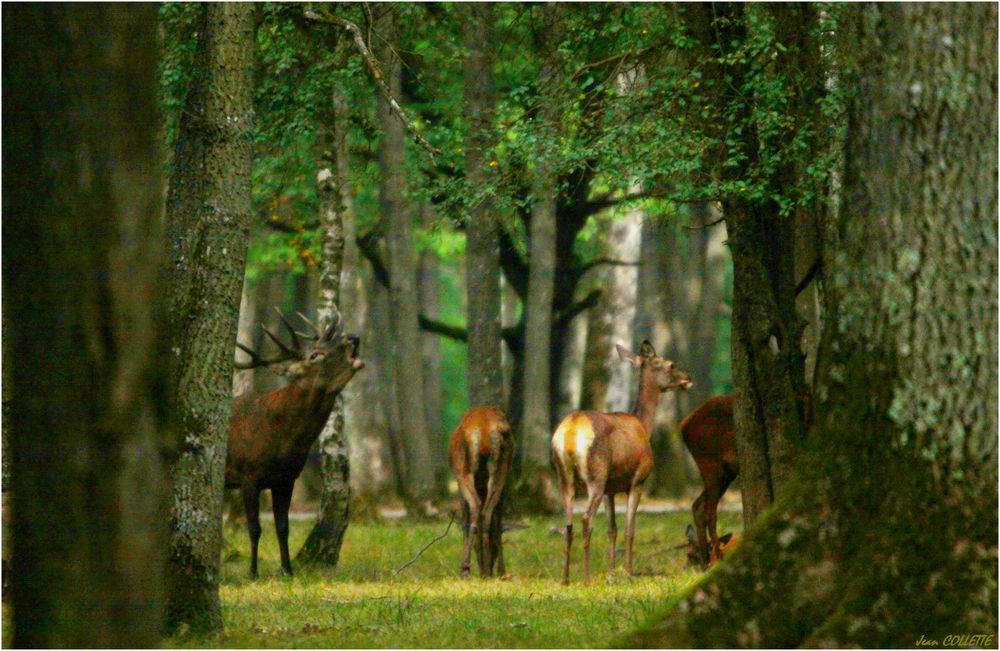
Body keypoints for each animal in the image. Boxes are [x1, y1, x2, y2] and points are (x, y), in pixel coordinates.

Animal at [227, 308, 364, 580]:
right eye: (314, 355)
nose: (353, 337)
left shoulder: (286, 479)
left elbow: (283, 527)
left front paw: (287, 570)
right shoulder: (249, 475)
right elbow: (254, 527)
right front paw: (253, 572)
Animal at [452, 408, 516, 580]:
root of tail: (485, 432)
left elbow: (465, 522)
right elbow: (497, 523)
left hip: (462, 469)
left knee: (476, 506)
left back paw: (466, 568)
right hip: (500, 469)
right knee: (488, 513)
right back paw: (494, 571)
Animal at [552, 342, 692, 584]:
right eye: (671, 364)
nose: (687, 377)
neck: (644, 426)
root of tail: (570, 433)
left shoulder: (611, 488)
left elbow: (612, 530)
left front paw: (610, 572)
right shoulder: (638, 479)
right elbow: (629, 529)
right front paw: (628, 572)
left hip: (565, 476)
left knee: (568, 524)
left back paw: (566, 578)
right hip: (596, 475)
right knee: (586, 519)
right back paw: (587, 578)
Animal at [676, 392, 740, 572]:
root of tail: (683, 425)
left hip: (726, 472)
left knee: (697, 505)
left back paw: (706, 559)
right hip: (711, 463)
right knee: (709, 511)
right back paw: (715, 559)